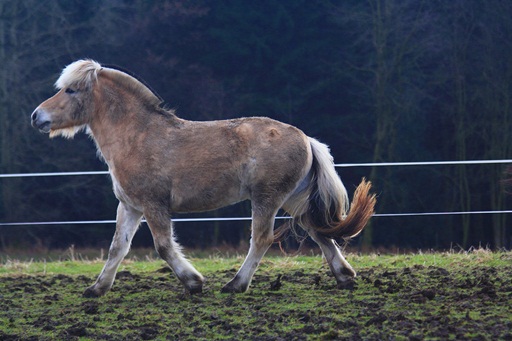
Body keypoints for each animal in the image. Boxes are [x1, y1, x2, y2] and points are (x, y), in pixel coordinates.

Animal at [32, 59, 376, 296]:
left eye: (70, 90)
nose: (37, 116)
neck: (138, 136)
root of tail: (306, 139)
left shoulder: (154, 205)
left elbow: (164, 247)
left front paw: (194, 282)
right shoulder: (130, 207)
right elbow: (118, 247)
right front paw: (97, 289)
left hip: (267, 199)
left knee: (261, 239)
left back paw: (236, 284)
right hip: (294, 200)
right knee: (320, 234)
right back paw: (344, 277)